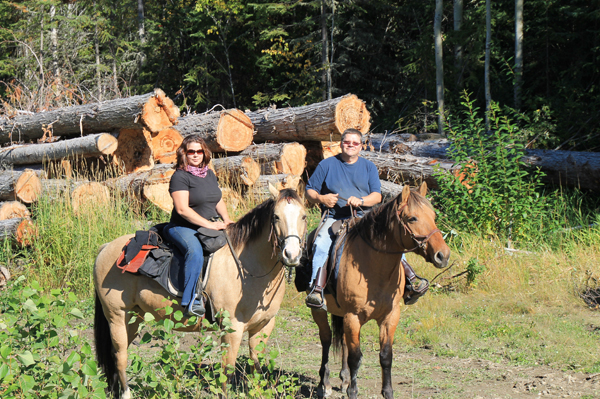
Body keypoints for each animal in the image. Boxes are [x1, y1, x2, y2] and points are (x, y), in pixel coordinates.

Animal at [94, 188, 310, 399]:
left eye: (304, 216)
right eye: (276, 217)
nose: (291, 255)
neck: (249, 267)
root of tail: (106, 247)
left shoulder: (264, 325)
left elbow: (257, 367)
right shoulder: (232, 328)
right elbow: (227, 372)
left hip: (133, 318)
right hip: (117, 315)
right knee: (120, 357)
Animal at [310, 183, 450, 398]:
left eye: (433, 216)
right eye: (412, 218)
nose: (443, 255)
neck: (374, 269)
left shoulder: (390, 316)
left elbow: (385, 356)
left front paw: (387, 391)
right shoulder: (353, 316)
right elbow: (355, 357)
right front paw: (352, 391)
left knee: (342, 341)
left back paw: (344, 379)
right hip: (319, 310)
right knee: (326, 340)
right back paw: (323, 385)